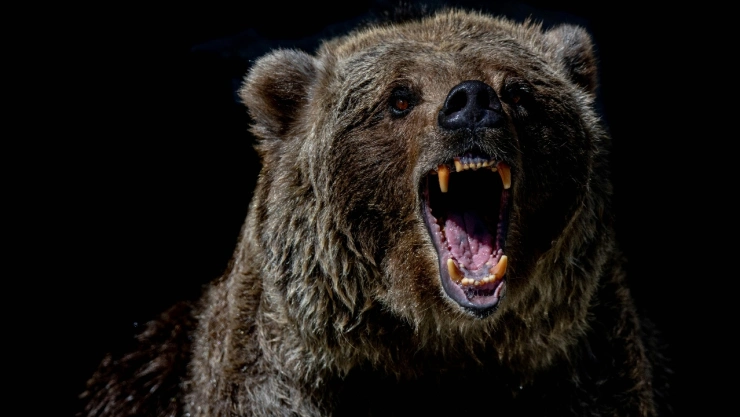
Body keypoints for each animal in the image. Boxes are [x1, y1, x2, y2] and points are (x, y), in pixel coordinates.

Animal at [80, 8, 670, 417]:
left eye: (519, 91)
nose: (472, 103)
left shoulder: (578, 370)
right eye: (400, 98)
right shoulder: (282, 382)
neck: (436, 344)